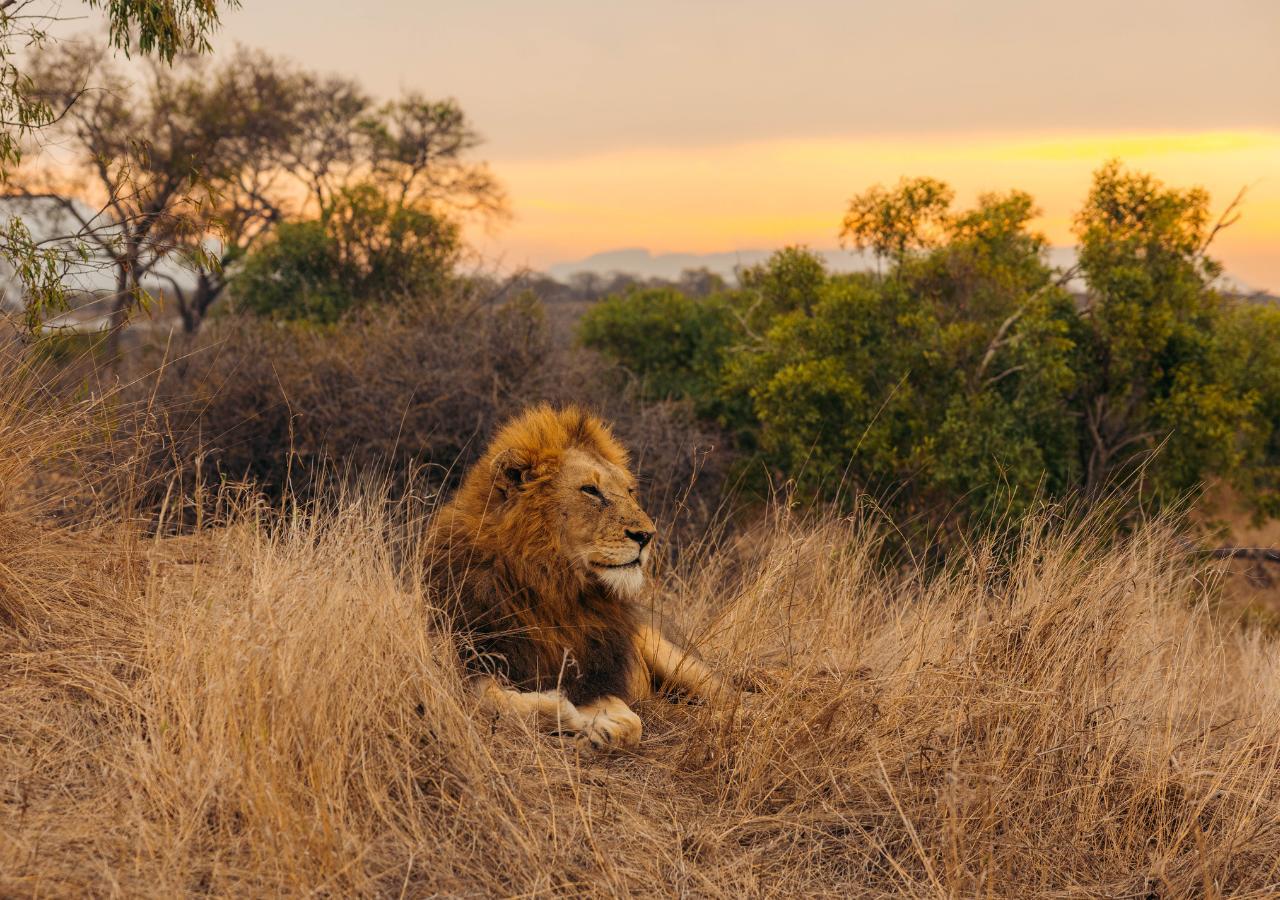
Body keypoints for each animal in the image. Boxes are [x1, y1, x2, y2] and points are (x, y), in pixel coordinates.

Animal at [425, 405, 734, 750]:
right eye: (591, 490)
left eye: (629, 491)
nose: (647, 536)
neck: (551, 588)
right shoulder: (467, 660)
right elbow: (495, 699)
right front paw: (572, 717)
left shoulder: (593, 675)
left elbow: (632, 722)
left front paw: (597, 727)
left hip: (674, 657)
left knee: (734, 698)